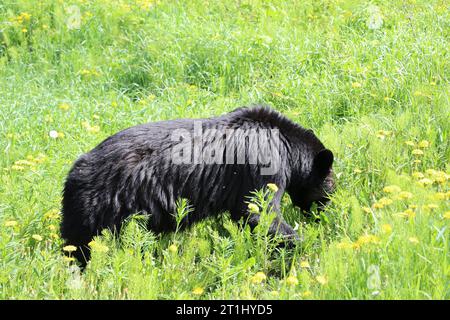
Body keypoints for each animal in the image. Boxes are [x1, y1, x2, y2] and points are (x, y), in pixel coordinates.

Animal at [60, 106, 334, 266]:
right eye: (330, 185)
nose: (326, 213)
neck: (286, 143)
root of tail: (74, 172)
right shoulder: (264, 164)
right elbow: (260, 213)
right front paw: (308, 248)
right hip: (99, 208)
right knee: (80, 247)